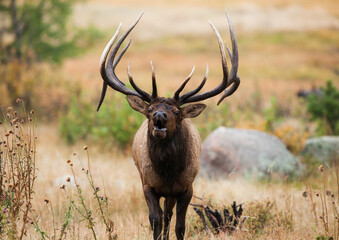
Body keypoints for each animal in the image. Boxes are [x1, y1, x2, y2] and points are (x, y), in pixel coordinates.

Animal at [97, 11, 240, 240]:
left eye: (176, 112)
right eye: (149, 109)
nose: (159, 115)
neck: (168, 172)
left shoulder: (187, 187)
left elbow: (180, 226)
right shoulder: (148, 184)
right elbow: (155, 220)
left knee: (169, 214)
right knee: (164, 215)